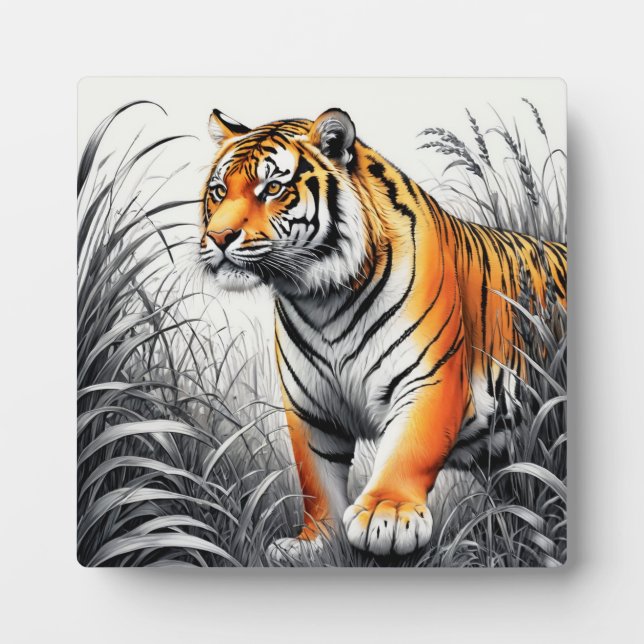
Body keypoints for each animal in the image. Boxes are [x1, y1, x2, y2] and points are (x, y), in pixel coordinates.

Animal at [199, 107, 567, 559]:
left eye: (272, 188)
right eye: (218, 190)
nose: (218, 237)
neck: (323, 301)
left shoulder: (430, 378)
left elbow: (408, 450)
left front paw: (386, 516)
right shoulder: (310, 406)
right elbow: (315, 477)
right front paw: (317, 542)